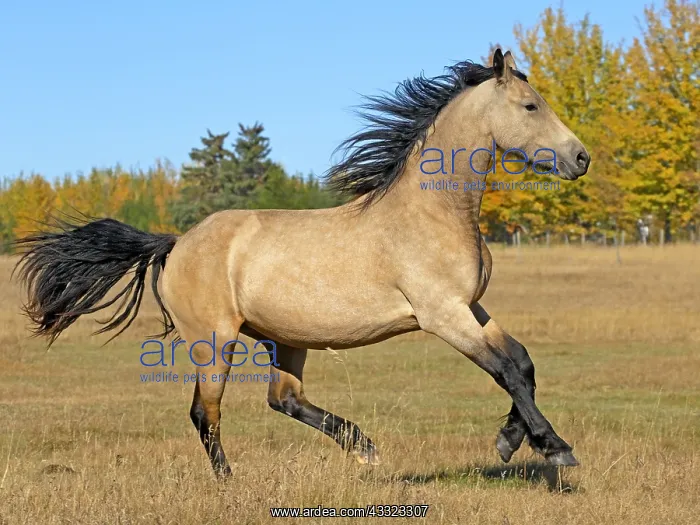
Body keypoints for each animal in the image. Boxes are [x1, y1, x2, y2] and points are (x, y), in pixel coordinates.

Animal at [14, 48, 590, 478]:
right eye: (531, 106)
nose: (580, 158)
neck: (432, 212)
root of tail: (176, 244)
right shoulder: (442, 314)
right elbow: (504, 368)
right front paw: (553, 446)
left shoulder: (472, 306)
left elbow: (521, 362)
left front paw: (511, 439)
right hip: (214, 340)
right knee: (205, 413)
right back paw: (230, 481)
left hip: (284, 338)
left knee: (285, 399)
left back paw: (363, 446)